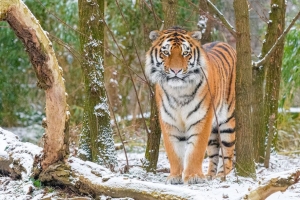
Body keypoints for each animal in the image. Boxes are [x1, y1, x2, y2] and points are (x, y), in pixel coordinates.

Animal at [145, 26, 237, 184]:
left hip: (227, 122)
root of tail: (223, 42)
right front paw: (175, 176)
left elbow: (195, 150)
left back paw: (221, 177)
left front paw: (194, 177)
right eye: (166, 52)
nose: (176, 71)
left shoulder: (201, 119)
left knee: (227, 154)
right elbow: (174, 152)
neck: (178, 91)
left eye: (185, 53)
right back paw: (210, 176)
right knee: (214, 153)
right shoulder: (169, 121)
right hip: (213, 132)